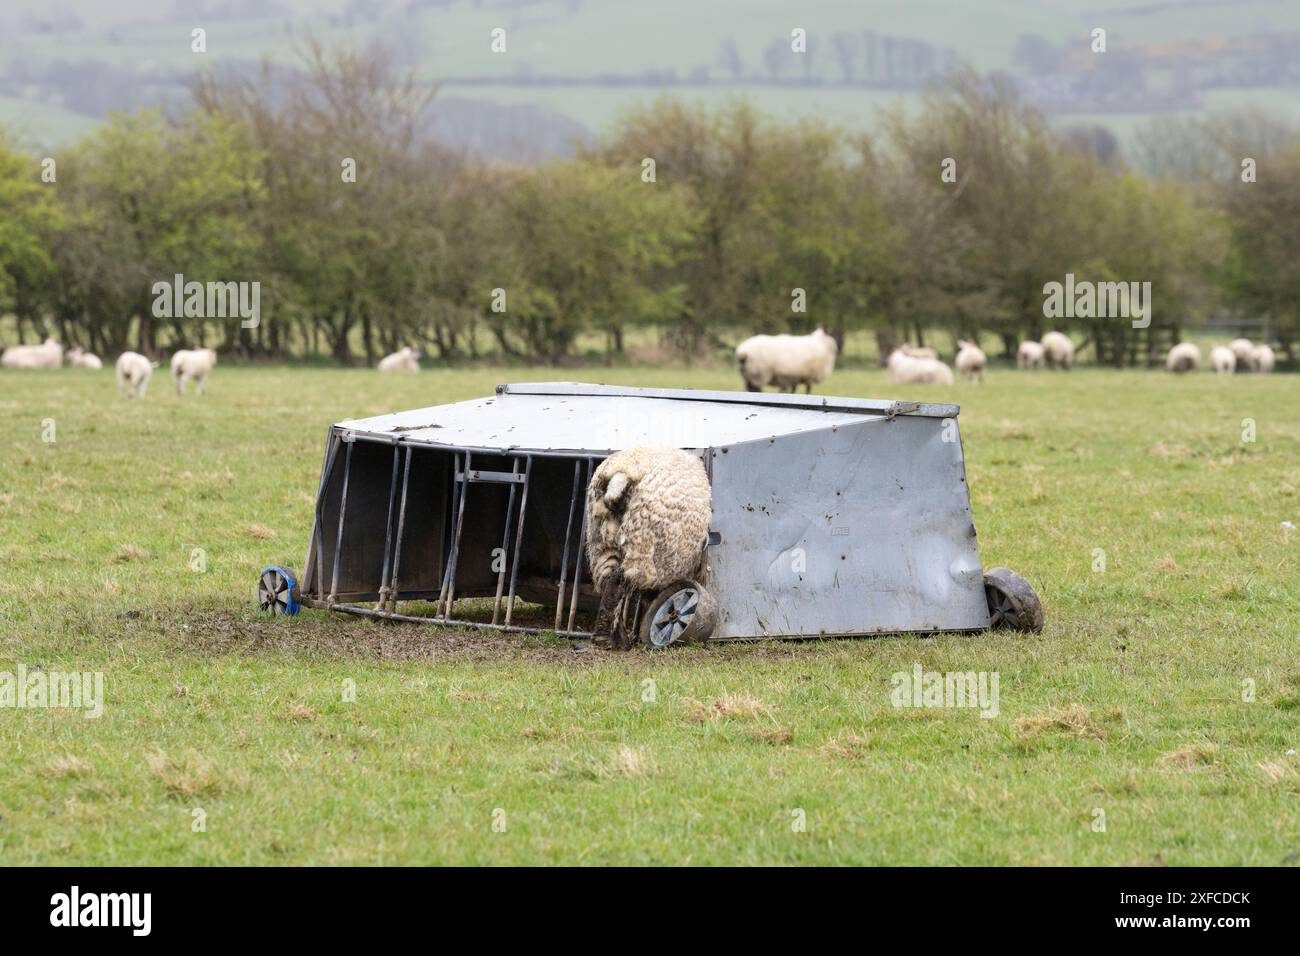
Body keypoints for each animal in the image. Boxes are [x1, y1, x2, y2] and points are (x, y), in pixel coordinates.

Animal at [587, 447, 712, 650]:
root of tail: (621, 472)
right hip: (645, 543)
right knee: (621, 579)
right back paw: (612, 638)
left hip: (602, 539)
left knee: (608, 580)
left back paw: (608, 636)